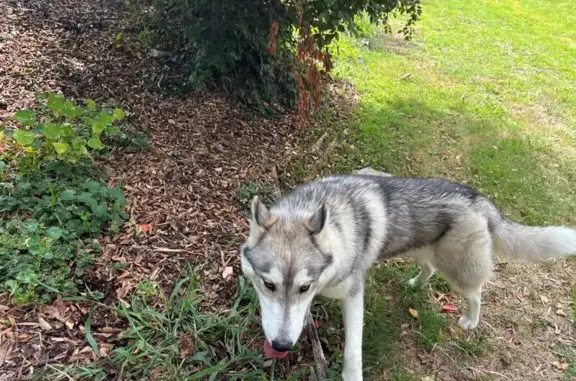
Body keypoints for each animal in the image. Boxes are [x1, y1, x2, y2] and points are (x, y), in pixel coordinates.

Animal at [240, 170, 576, 380]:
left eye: (304, 286)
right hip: (419, 249)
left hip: (460, 273)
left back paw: (470, 320)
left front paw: (352, 375)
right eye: (268, 284)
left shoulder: (353, 297)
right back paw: (415, 283)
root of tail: (479, 198)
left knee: (476, 294)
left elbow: (353, 352)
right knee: (428, 268)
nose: (281, 345)